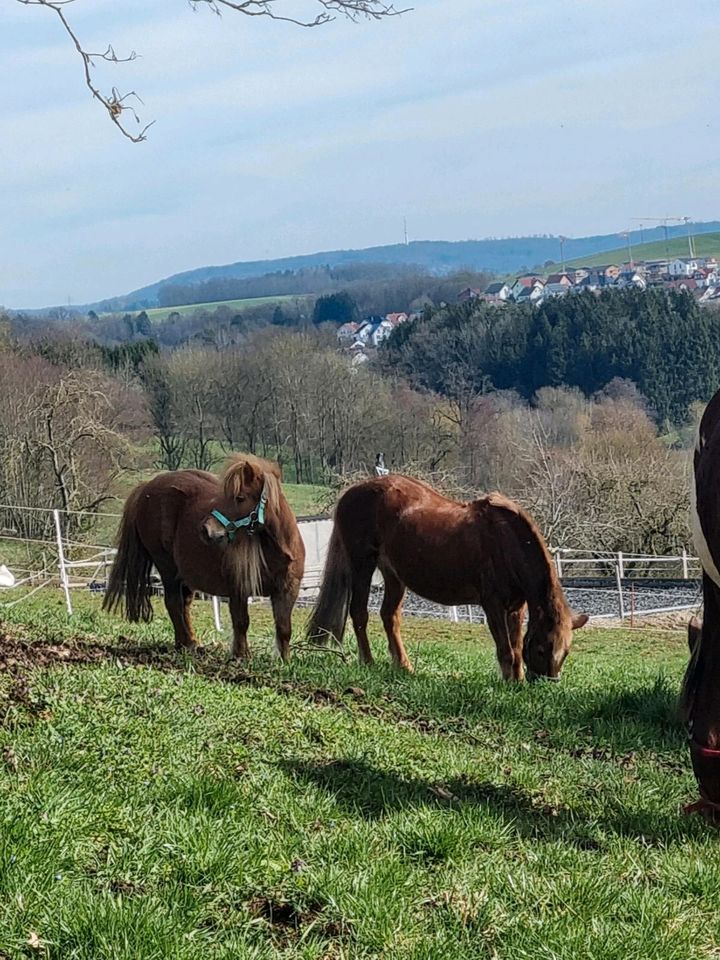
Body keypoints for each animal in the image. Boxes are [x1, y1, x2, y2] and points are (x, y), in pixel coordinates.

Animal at [102, 458, 306, 660]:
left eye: (240, 498)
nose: (206, 529)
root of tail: (146, 487)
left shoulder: (288, 590)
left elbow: (284, 628)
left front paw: (284, 660)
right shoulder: (238, 588)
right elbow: (241, 622)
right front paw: (241, 655)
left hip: (184, 575)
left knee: (184, 604)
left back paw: (187, 641)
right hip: (167, 567)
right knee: (173, 603)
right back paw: (187, 644)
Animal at [306, 476, 588, 680]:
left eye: (566, 652)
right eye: (541, 649)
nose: (543, 683)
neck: (507, 542)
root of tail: (352, 491)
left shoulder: (516, 607)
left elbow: (516, 647)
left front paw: (516, 680)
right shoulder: (493, 605)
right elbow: (505, 649)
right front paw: (509, 682)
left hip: (394, 576)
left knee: (389, 616)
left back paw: (404, 666)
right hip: (362, 566)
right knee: (359, 613)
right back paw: (368, 662)